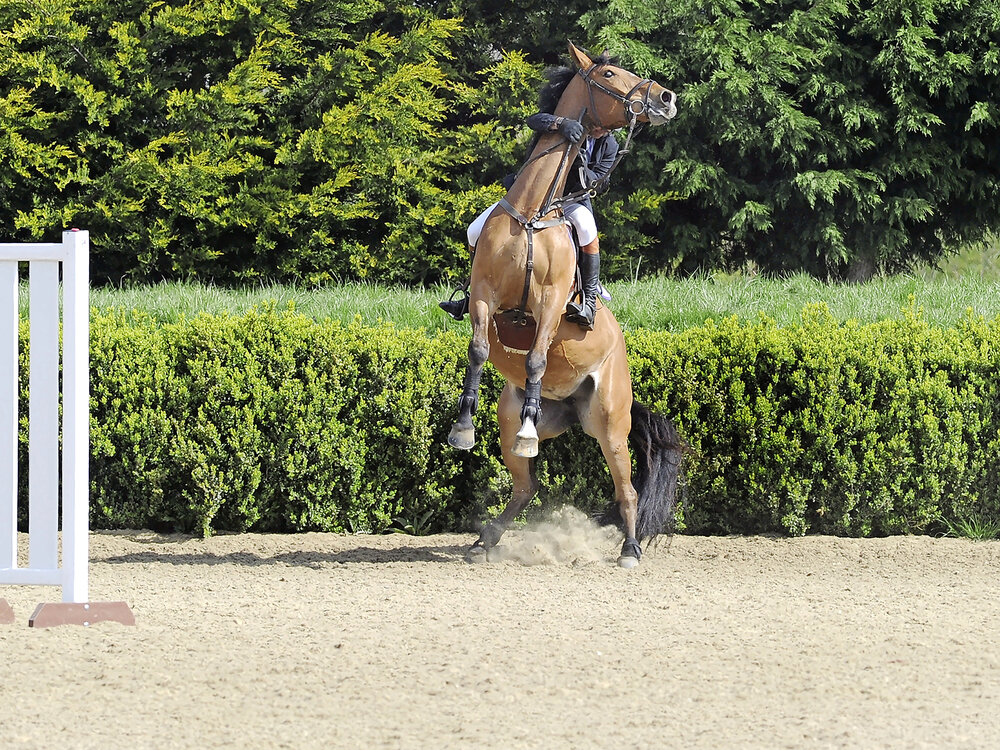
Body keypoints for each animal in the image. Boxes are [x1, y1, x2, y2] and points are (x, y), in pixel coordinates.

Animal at [448, 42, 682, 568]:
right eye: (610, 74)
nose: (665, 97)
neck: (534, 213)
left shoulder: (551, 304)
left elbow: (536, 355)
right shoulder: (483, 295)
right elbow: (477, 350)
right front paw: (462, 429)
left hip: (610, 422)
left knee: (626, 491)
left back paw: (630, 549)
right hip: (511, 413)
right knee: (525, 486)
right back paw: (486, 538)